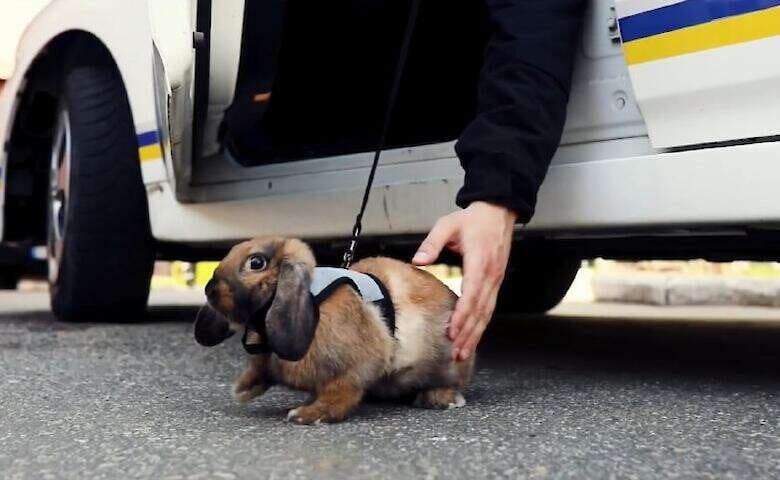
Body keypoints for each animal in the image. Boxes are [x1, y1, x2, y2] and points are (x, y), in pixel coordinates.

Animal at [195, 236, 476, 424]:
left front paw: (307, 415)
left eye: (256, 262)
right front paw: (242, 390)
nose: (209, 289)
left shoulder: (351, 370)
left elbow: (339, 395)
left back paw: (440, 398)